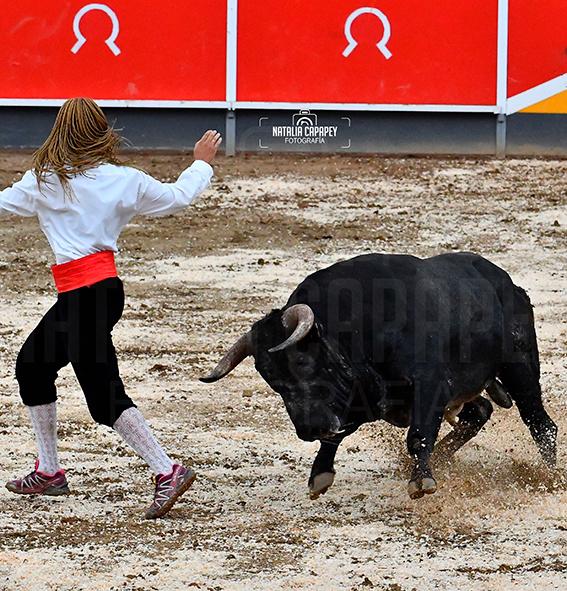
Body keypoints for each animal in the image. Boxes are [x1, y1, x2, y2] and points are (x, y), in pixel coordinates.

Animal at [201, 252, 560, 502]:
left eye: (301, 361)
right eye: (269, 377)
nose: (308, 430)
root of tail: (511, 286)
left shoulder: (429, 385)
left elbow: (418, 435)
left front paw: (421, 480)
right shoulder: (364, 401)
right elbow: (339, 435)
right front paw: (321, 474)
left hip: (520, 369)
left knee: (540, 423)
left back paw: (550, 478)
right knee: (480, 412)